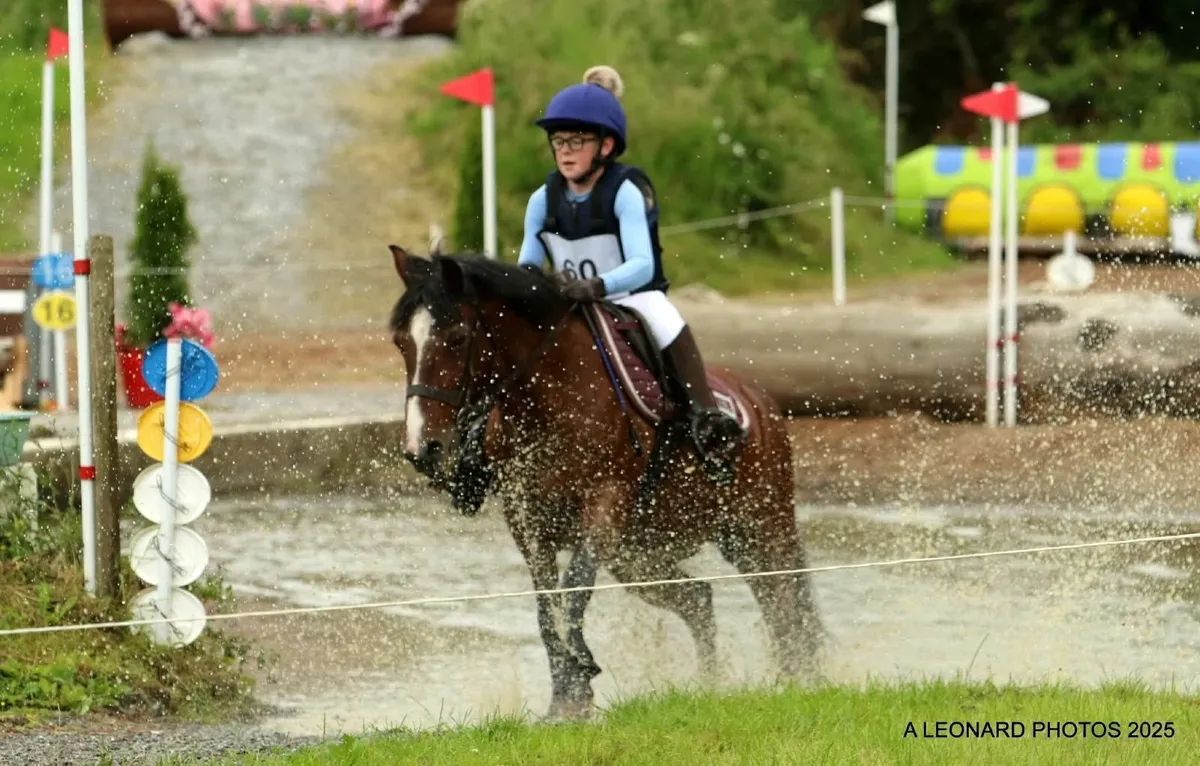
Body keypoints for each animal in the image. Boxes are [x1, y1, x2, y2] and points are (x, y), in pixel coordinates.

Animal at [386, 244, 824, 720]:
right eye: (401, 342)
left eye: (457, 339)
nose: (422, 448)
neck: (550, 397)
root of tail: (761, 402)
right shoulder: (527, 519)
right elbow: (548, 607)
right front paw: (566, 697)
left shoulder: (604, 504)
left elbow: (573, 588)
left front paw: (580, 672)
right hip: (640, 556)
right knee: (699, 599)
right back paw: (710, 685)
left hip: (759, 529)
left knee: (782, 603)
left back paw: (794, 681)